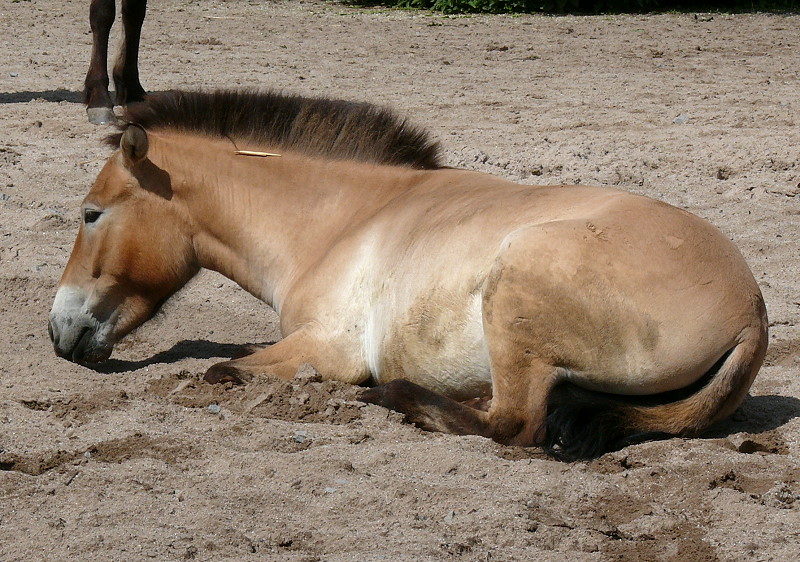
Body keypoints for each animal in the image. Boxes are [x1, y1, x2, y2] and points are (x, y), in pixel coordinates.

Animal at [45, 89, 768, 460]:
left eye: (91, 213)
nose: (59, 330)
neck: (339, 222)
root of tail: (752, 313)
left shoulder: (328, 348)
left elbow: (220, 370)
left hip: (517, 291)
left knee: (514, 427)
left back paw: (395, 398)